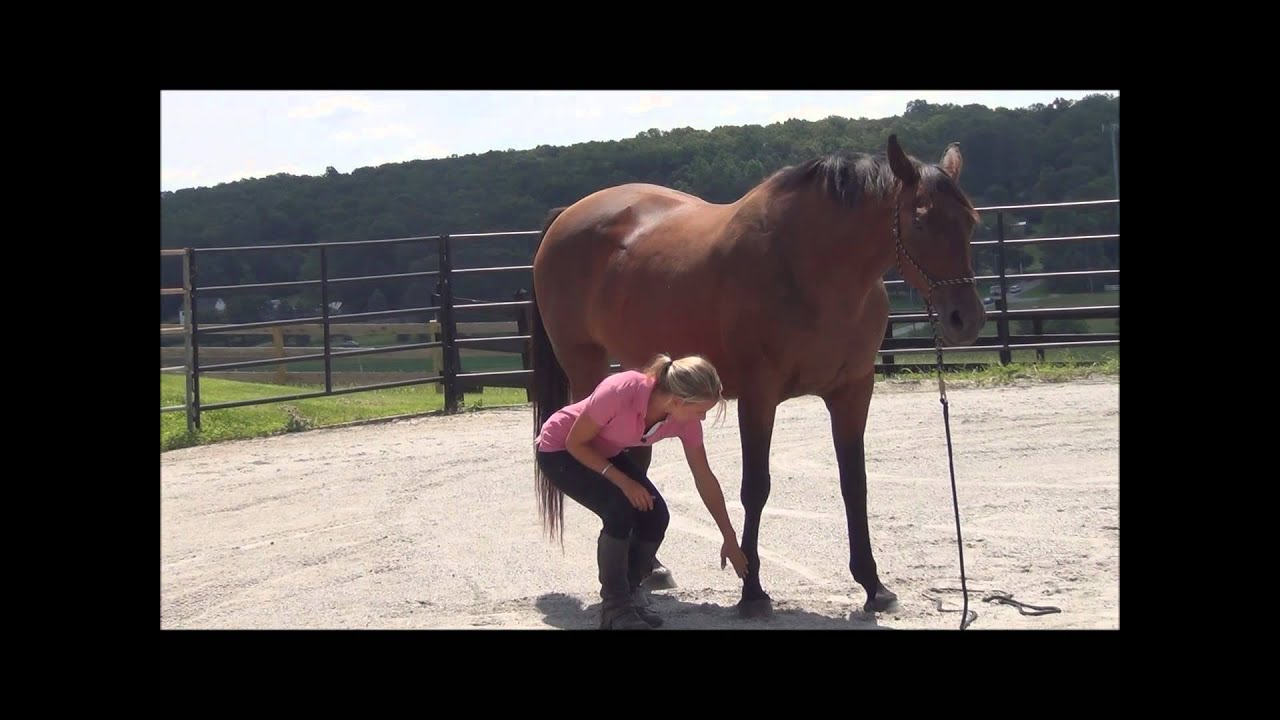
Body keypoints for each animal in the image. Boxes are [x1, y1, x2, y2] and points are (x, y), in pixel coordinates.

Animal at [528, 134, 985, 617]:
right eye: (920, 221)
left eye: (970, 221)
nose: (966, 319)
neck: (809, 269)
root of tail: (570, 215)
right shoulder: (758, 397)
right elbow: (755, 489)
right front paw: (752, 591)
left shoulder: (853, 392)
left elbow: (854, 484)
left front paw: (873, 585)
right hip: (587, 366)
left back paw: (651, 568)